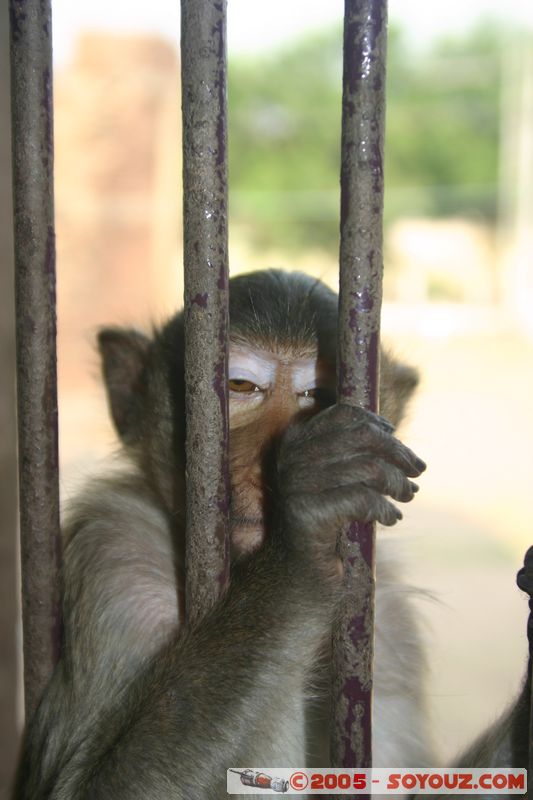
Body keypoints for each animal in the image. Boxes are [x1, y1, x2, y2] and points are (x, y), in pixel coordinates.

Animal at [13, 270, 432, 800]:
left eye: (319, 396)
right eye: (239, 385)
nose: (264, 476)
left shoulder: (394, 626)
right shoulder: (114, 559)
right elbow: (81, 787)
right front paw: (299, 541)